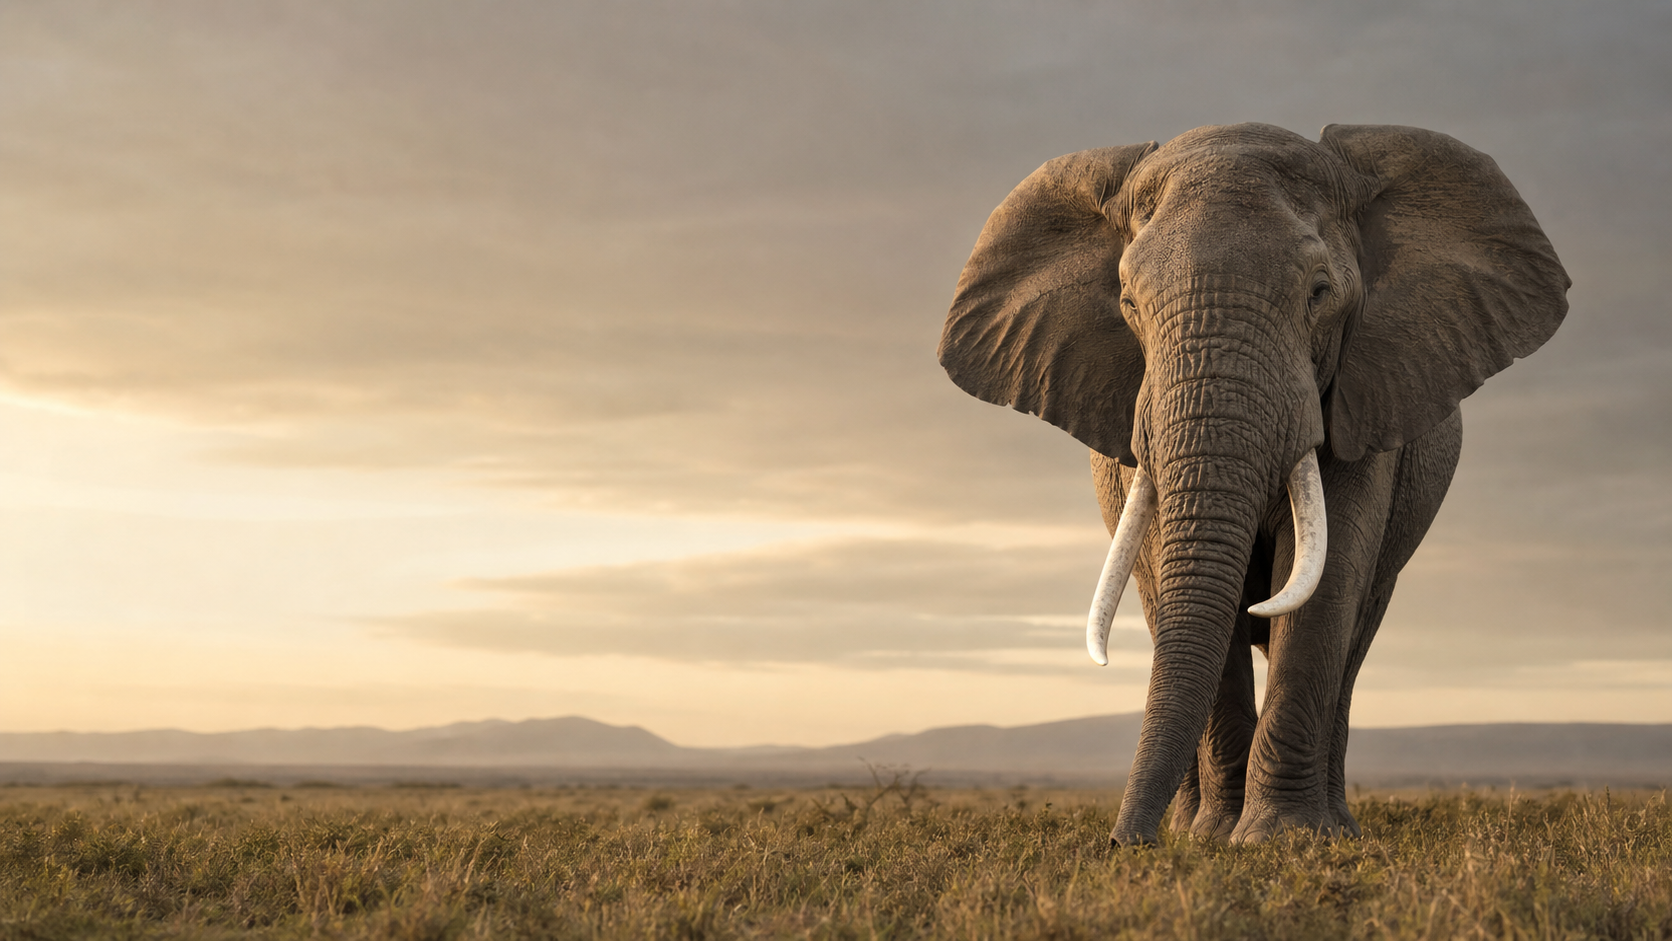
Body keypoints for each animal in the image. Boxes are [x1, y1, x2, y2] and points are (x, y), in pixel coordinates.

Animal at [938, 123, 1569, 845]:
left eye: (1319, 293)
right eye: (1128, 302)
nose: (1122, 843)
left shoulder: (1363, 394)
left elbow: (1327, 577)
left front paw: (1284, 839)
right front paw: (1213, 838)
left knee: (1355, 635)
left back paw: (1337, 827)